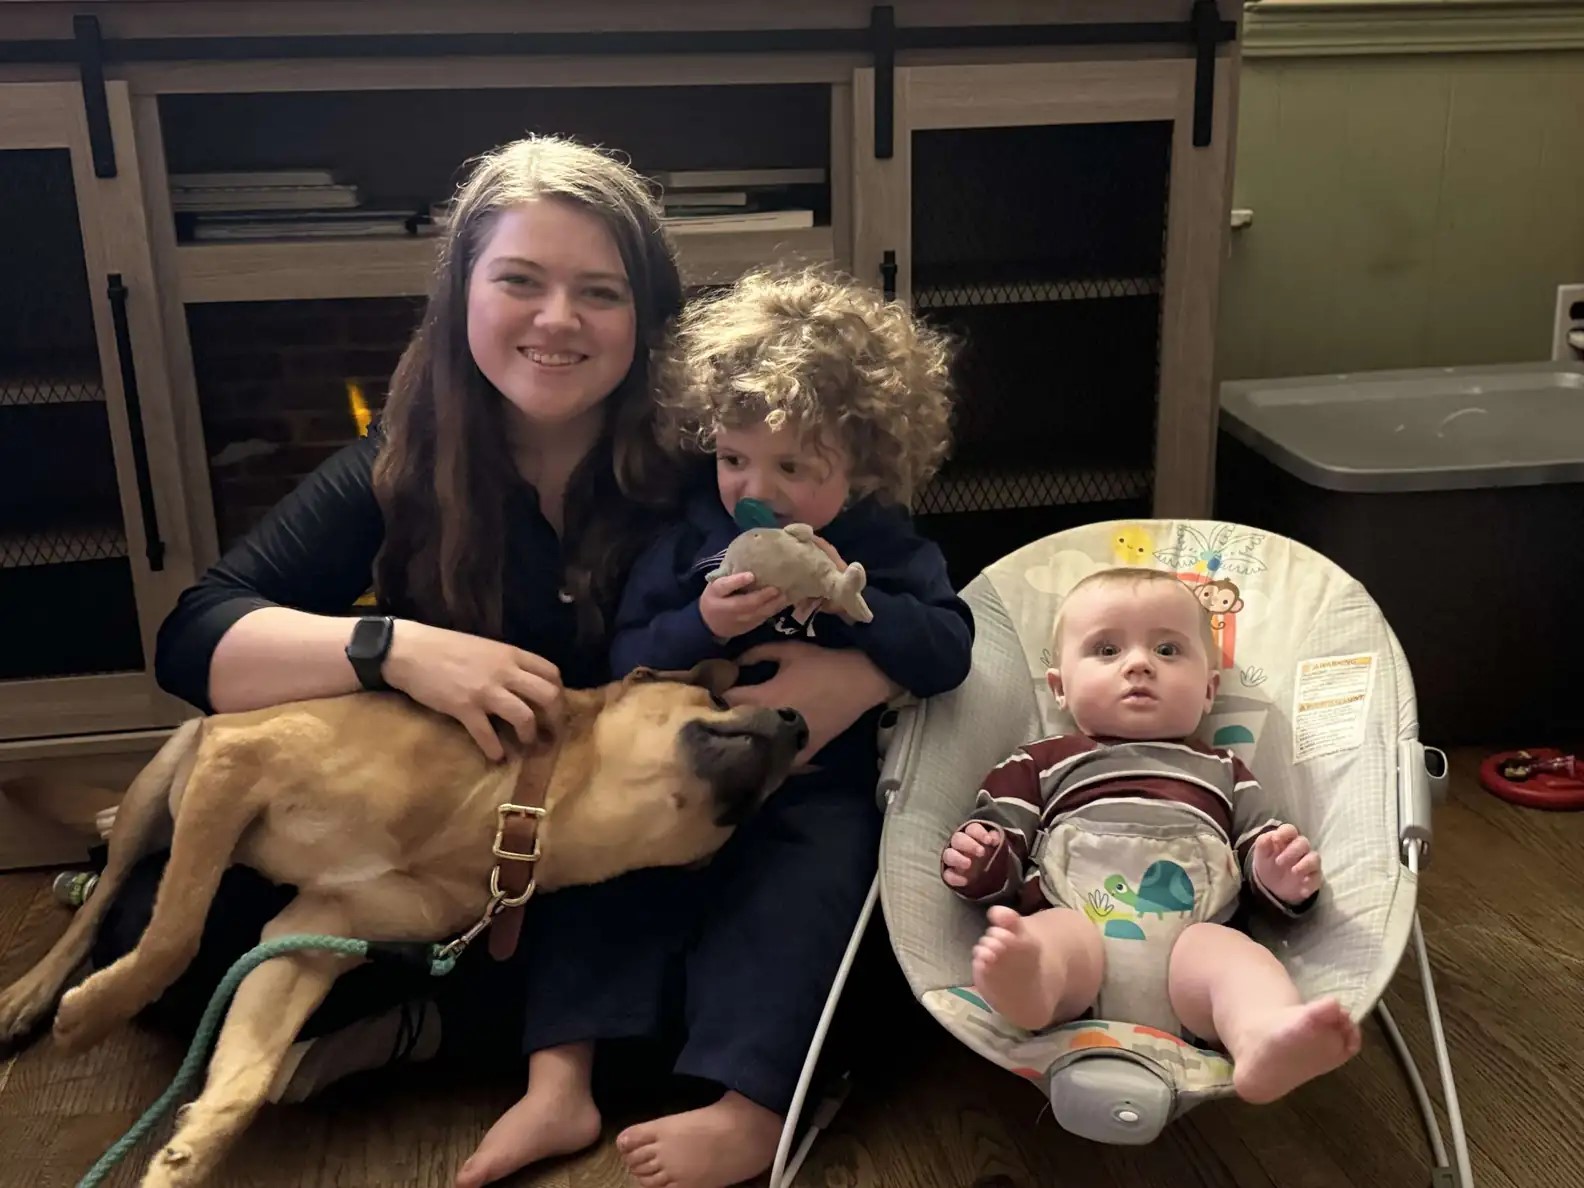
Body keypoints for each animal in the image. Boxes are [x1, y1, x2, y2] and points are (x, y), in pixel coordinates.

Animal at [0, 662, 798, 1188]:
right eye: (719, 695)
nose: (800, 719)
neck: (516, 814)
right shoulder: (237, 762)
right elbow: (173, 938)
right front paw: (87, 1015)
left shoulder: (306, 939)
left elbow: (245, 1077)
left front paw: (186, 1152)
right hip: (161, 791)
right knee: (105, 899)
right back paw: (34, 995)